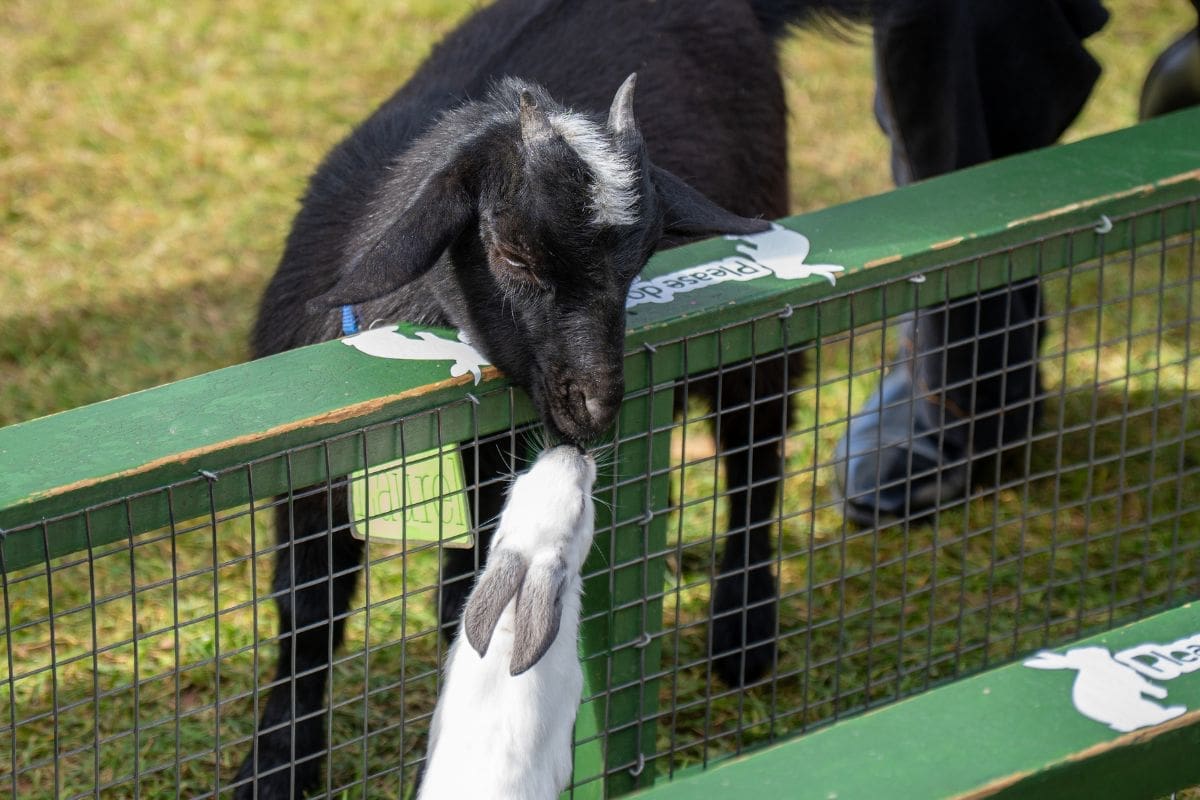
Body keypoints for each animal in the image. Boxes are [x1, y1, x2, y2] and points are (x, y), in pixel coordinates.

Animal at [1024, 646, 1187, 733]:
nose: (1099, 649)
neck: (1094, 665)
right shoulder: (1133, 679)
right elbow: (1146, 686)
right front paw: (1162, 693)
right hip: (1146, 707)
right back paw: (1176, 710)